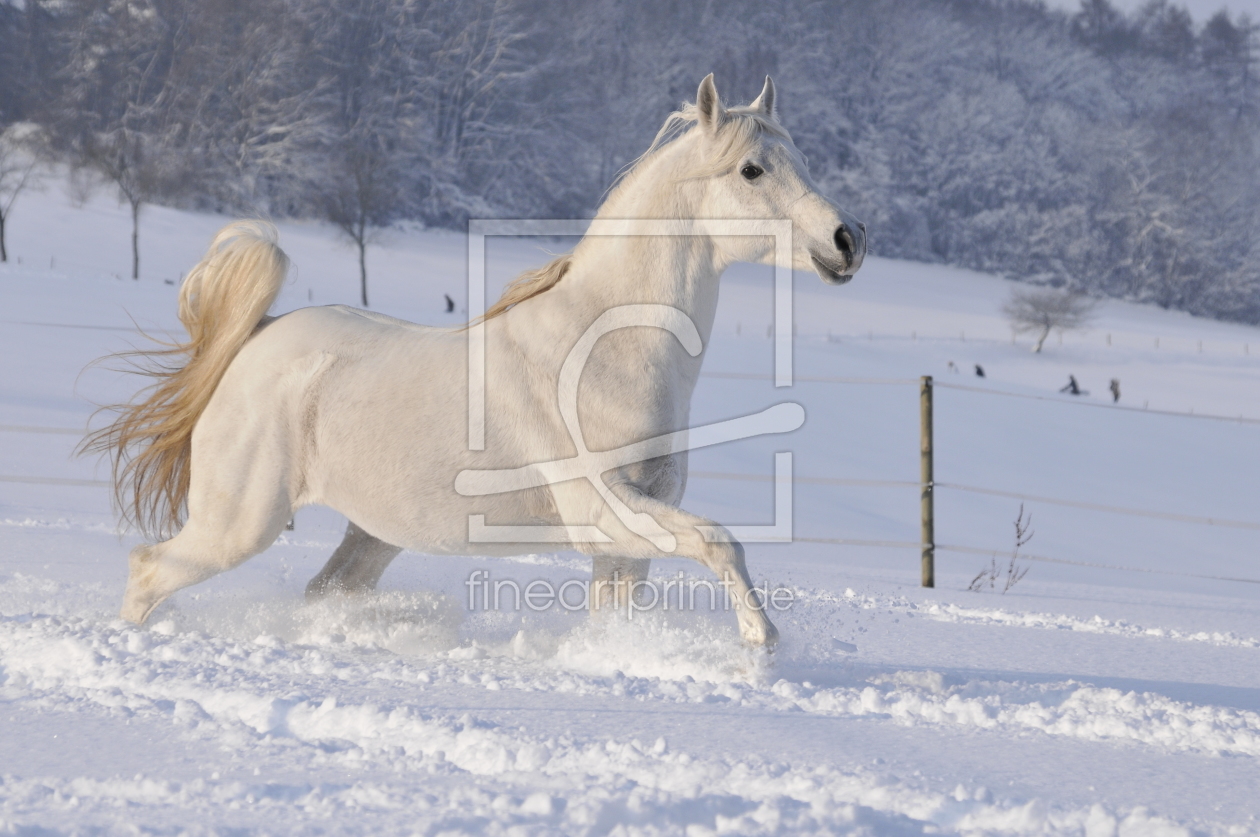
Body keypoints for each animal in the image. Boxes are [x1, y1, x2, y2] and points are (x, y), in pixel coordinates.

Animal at [91, 75, 866, 642]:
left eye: (802, 160)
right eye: (752, 169)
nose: (848, 239)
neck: (606, 351)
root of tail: (256, 337)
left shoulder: (626, 536)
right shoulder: (606, 510)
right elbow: (722, 542)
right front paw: (761, 642)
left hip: (370, 533)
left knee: (321, 589)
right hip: (238, 525)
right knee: (147, 571)